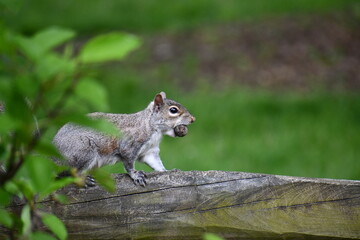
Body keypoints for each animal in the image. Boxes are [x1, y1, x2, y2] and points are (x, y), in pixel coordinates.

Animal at [52, 91, 195, 186]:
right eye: (173, 110)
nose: (193, 119)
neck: (153, 128)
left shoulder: (150, 151)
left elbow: (156, 163)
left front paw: (167, 171)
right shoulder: (130, 145)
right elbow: (128, 163)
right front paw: (136, 175)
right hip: (83, 151)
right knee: (70, 172)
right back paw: (83, 179)